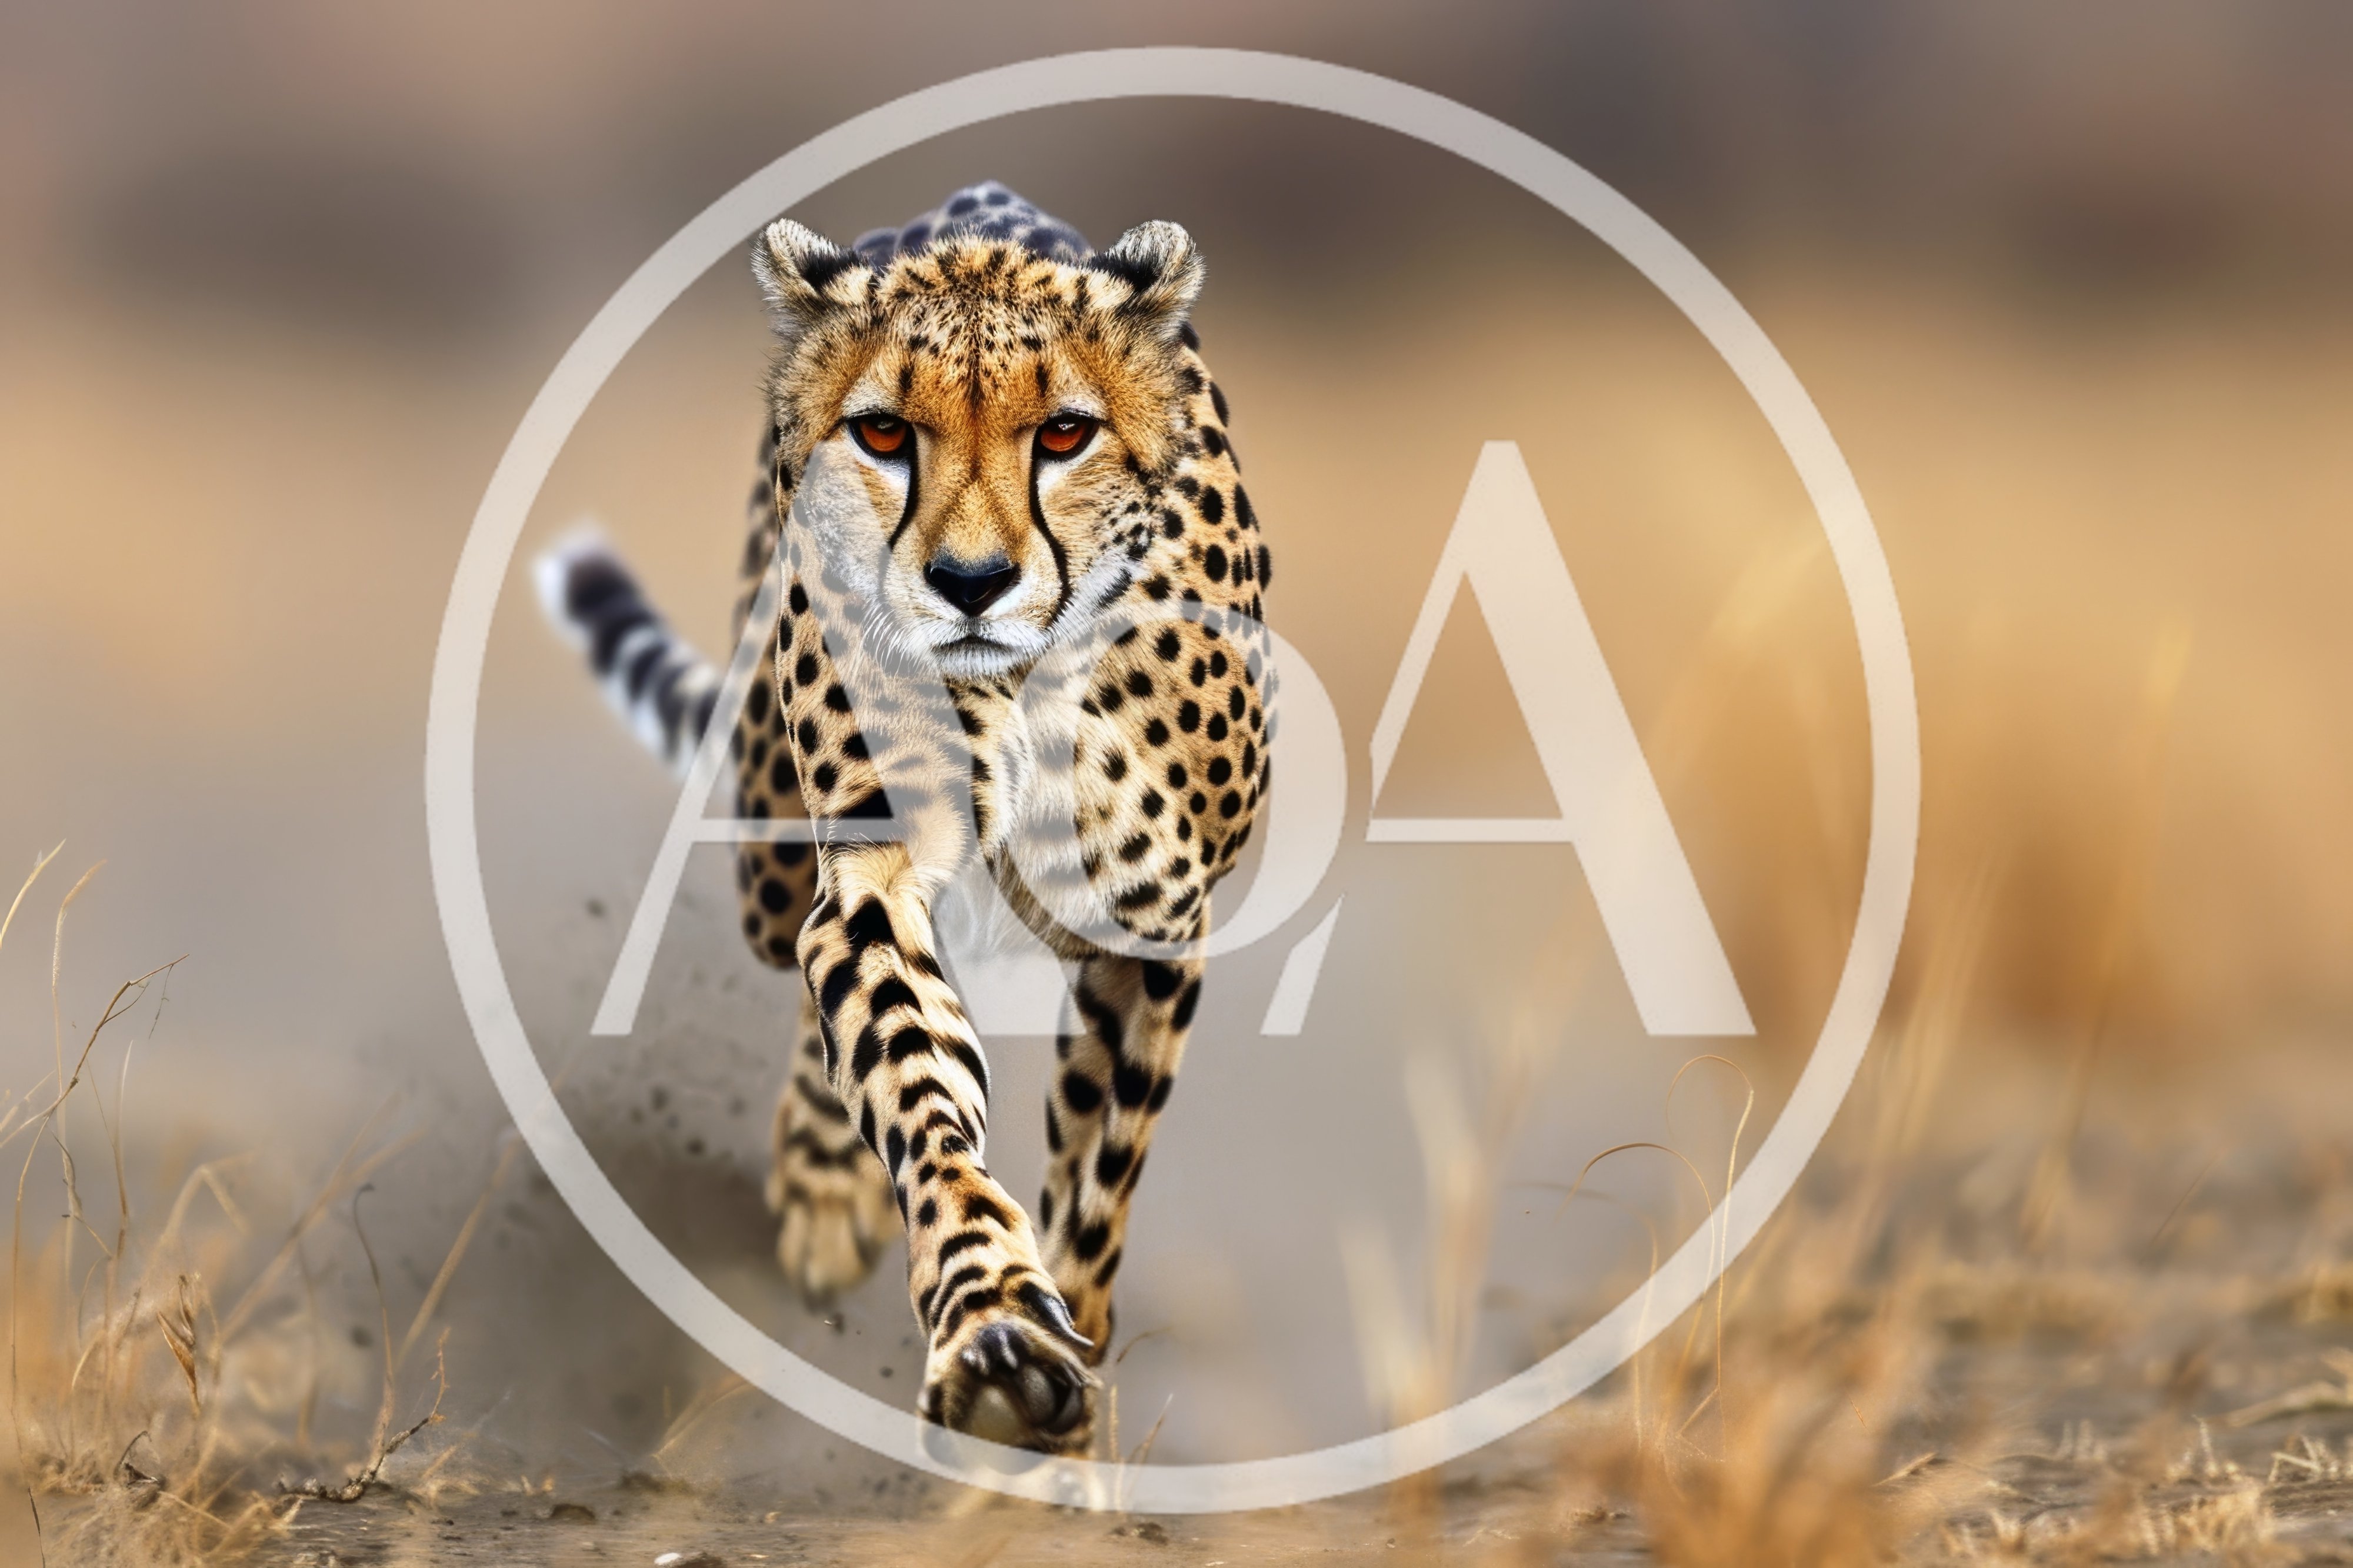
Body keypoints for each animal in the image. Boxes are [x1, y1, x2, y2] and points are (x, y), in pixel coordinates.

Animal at [537, 182, 1273, 1457]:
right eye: (883, 434)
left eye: (1064, 434)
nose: (969, 584)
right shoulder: (873, 867)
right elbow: (915, 1076)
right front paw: (996, 1326)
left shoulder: (1150, 931)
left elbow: (1096, 1185)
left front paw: (1064, 1403)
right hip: (773, 855)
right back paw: (826, 1182)